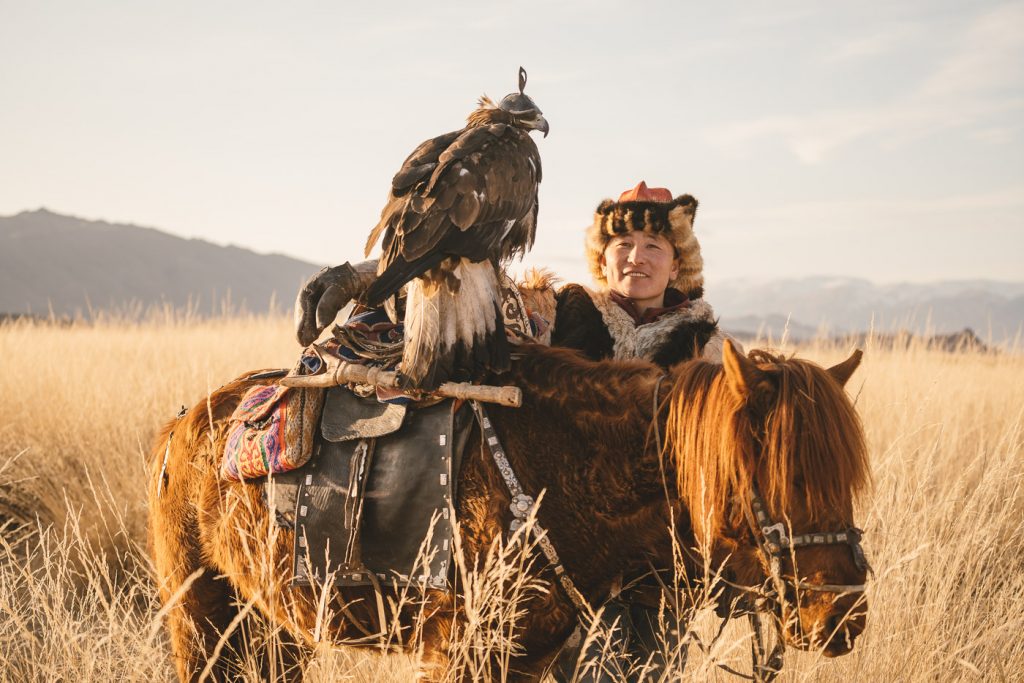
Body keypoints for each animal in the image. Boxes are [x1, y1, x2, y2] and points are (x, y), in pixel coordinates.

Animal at [148, 339, 868, 679]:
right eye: (783, 476)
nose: (843, 614)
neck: (562, 472)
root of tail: (183, 424)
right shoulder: (455, 654)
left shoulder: (526, 659)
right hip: (199, 617)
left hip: (272, 622)